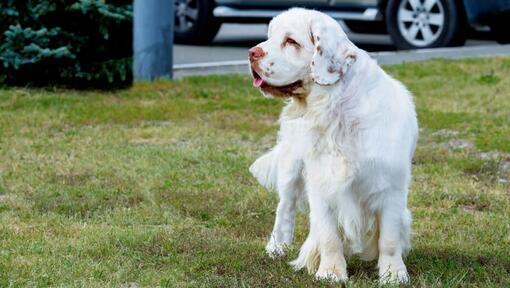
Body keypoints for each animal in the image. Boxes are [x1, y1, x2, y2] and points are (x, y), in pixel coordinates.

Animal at [247, 8, 418, 284]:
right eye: (270, 36)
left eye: (291, 41)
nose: (252, 52)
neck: (337, 111)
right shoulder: (322, 183)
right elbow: (329, 236)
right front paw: (330, 272)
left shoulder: (390, 187)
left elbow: (389, 239)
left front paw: (393, 274)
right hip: (291, 167)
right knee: (285, 208)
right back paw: (276, 248)